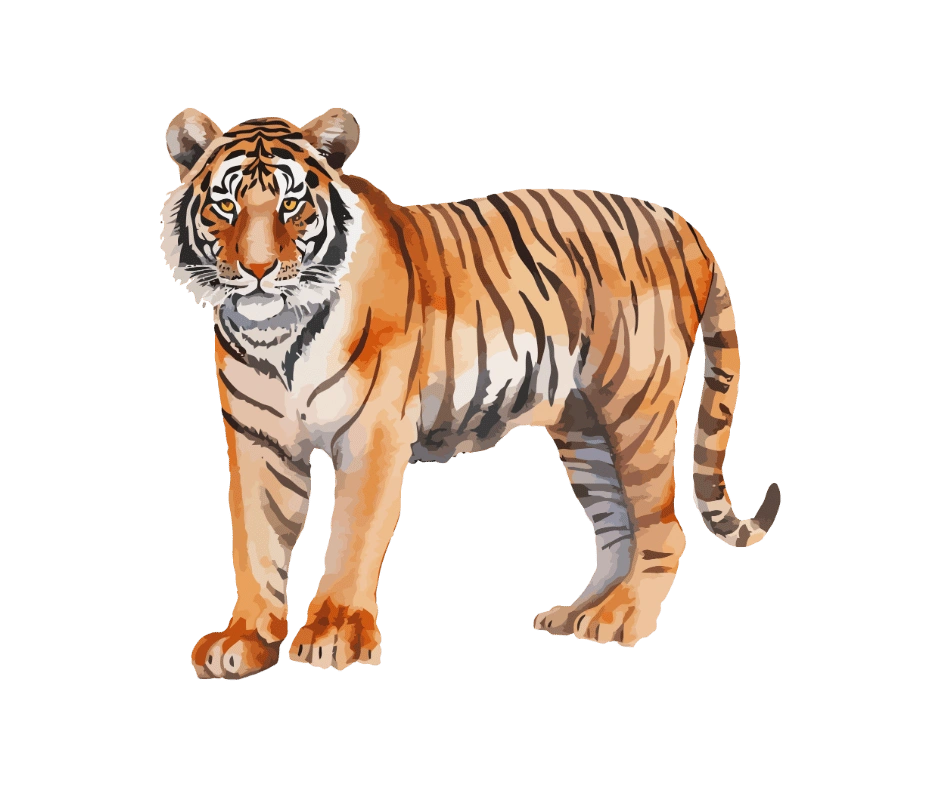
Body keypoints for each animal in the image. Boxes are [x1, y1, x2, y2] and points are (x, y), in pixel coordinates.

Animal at [161, 106, 783, 677]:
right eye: (225, 205)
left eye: (291, 205)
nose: (257, 269)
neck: (276, 334)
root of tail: (681, 222)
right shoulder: (256, 438)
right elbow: (256, 543)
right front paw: (242, 641)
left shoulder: (373, 434)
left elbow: (352, 538)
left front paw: (333, 635)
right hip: (585, 425)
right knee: (616, 529)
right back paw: (579, 613)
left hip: (634, 403)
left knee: (662, 526)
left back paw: (623, 618)